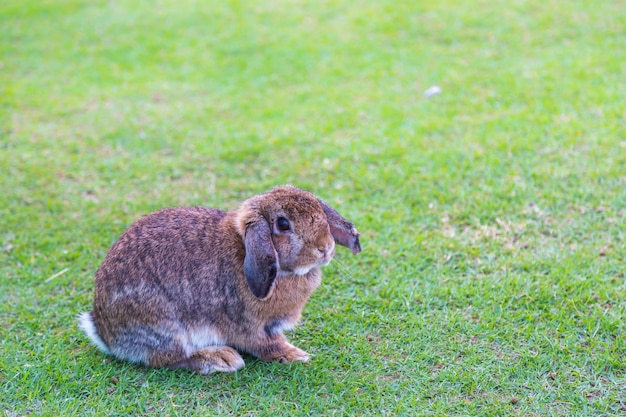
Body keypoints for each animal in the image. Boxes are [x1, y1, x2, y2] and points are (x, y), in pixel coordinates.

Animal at [78, 184, 360, 372]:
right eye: (282, 224)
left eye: (319, 210)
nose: (325, 248)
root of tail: (103, 331)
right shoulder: (251, 326)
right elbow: (267, 345)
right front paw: (295, 355)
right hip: (164, 322)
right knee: (169, 358)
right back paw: (220, 359)